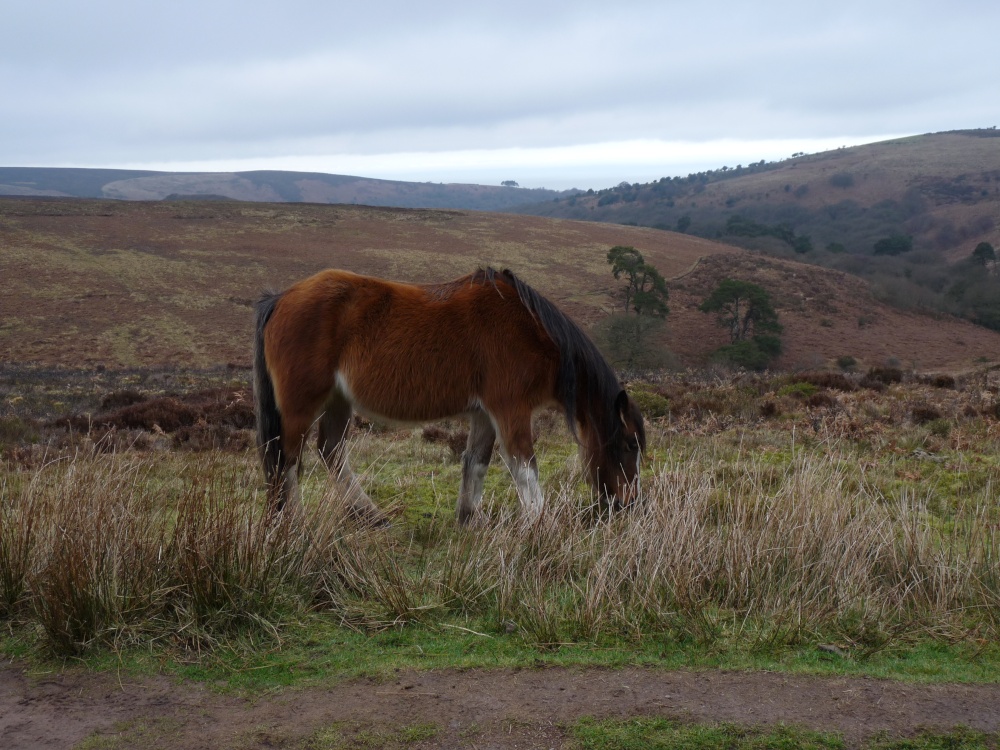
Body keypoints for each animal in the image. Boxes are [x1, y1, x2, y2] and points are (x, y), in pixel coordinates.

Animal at [252, 268, 648, 524]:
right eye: (630, 444)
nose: (629, 505)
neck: (531, 331)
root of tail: (281, 299)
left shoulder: (485, 414)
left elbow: (476, 462)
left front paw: (470, 518)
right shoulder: (511, 410)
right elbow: (525, 467)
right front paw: (540, 522)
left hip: (338, 400)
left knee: (330, 450)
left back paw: (368, 515)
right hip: (301, 405)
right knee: (287, 460)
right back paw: (292, 524)